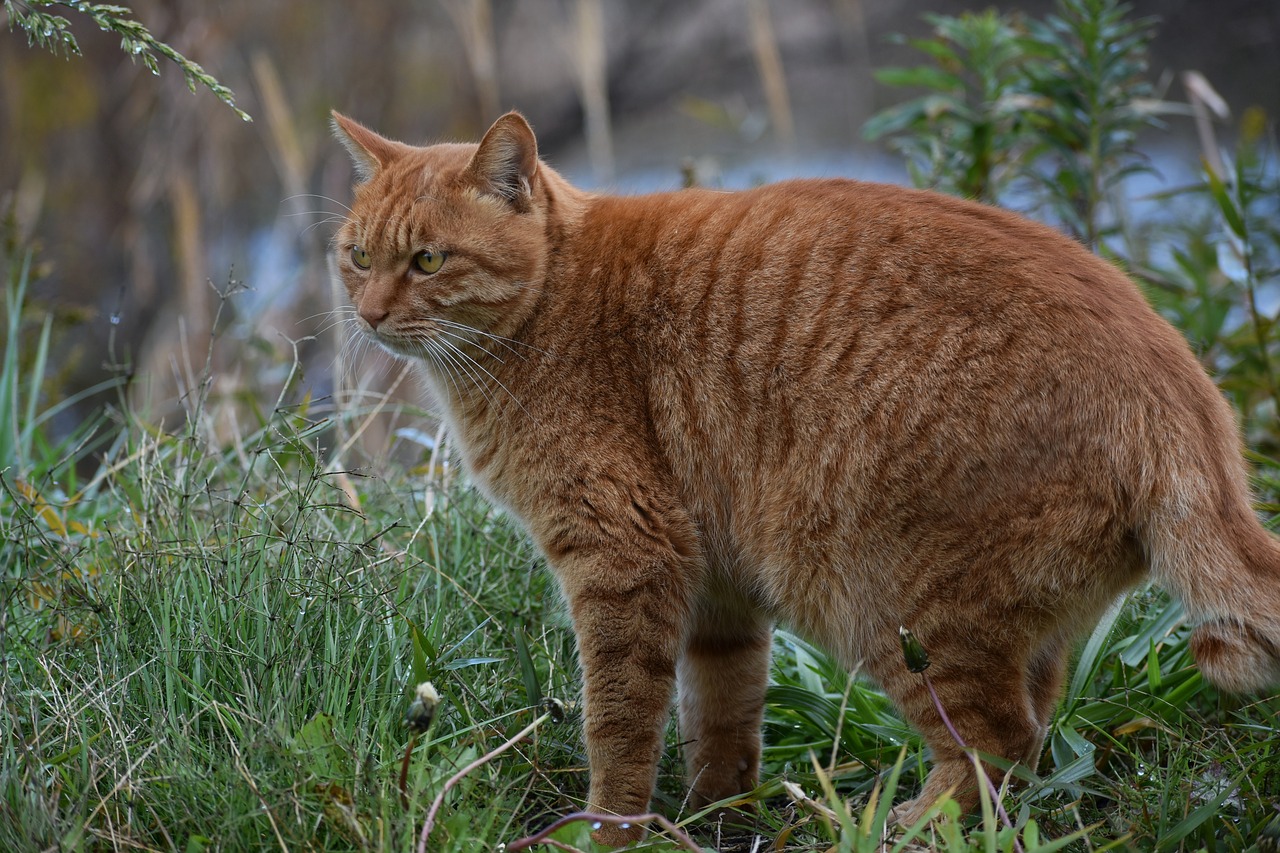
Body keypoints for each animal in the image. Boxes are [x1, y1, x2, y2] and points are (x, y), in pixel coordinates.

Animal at [332, 109, 1280, 840]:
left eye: (427, 260)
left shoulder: (625, 555)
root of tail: (1181, 389)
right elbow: (721, 712)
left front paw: (609, 829)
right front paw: (712, 814)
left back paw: (908, 826)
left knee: (1000, 744)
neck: (547, 306)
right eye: (357, 256)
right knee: (1037, 734)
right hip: (1017, 621)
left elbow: (618, 720)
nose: (368, 314)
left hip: (892, 603)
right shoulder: (716, 586)